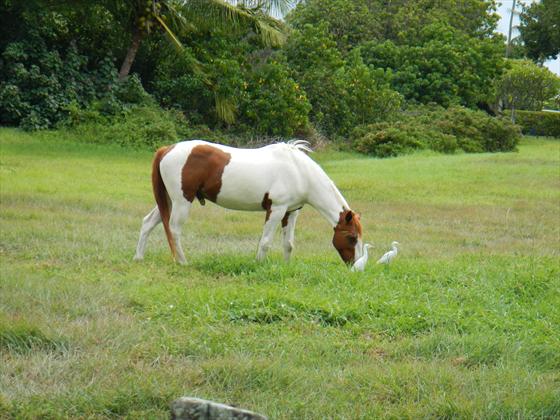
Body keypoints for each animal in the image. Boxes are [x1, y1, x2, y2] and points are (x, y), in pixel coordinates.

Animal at [134, 141, 366, 266]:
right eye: (352, 237)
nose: (356, 266)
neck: (299, 171)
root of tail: (167, 149)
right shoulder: (276, 210)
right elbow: (265, 242)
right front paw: (259, 265)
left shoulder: (291, 212)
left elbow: (288, 244)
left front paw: (286, 266)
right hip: (182, 201)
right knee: (173, 229)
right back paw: (183, 261)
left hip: (170, 201)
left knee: (148, 223)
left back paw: (139, 257)